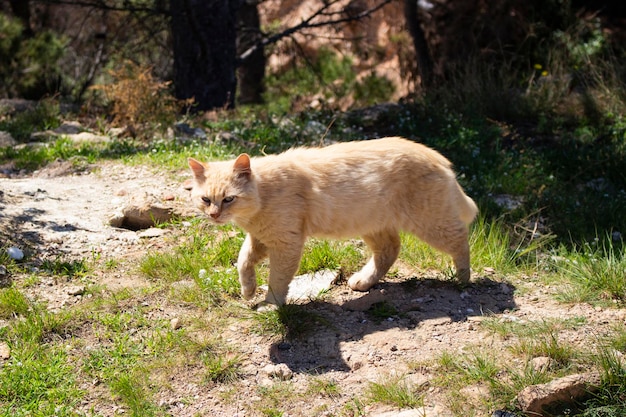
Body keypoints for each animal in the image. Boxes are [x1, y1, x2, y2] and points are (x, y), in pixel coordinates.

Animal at [188, 136, 476, 306]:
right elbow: (243, 262)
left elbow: (277, 279)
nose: (214, 215)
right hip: (372, 225)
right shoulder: (260, 239)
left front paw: (271, 304)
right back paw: (364, 281)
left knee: (461, 240)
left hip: (432, 224)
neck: (265, 191)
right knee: (390, 250)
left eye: (228, 199)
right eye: (206, 199)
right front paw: (248, 290)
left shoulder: (285, 243)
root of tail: (438, 158)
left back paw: (462, 279)